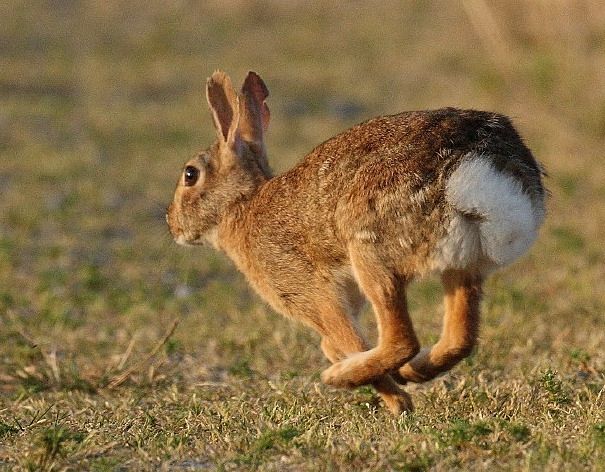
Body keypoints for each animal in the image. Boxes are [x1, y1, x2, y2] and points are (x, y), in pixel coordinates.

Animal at [166, 71, 548, 416]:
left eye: (190, 174)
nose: (171, 225)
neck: (241, 204)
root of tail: (478, 167)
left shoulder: (311, 296)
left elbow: (345, 340)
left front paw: (397, 401)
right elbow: (335, 342)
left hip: (369, 252)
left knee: (400, 340)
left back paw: (340, 377)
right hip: (463, 263)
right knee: (460, 338)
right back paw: (413, 371)